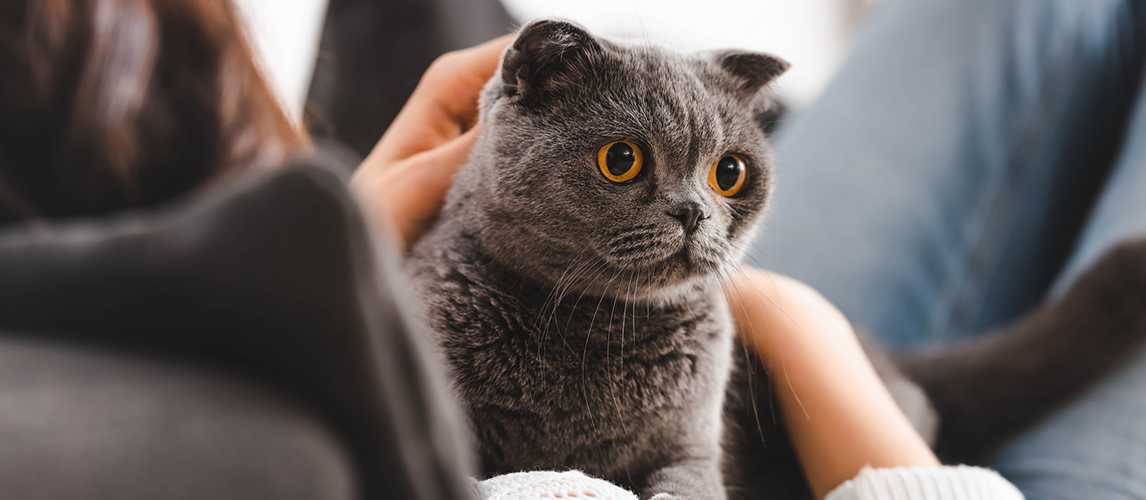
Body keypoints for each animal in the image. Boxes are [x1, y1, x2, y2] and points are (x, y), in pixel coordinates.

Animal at [412, 17, 1146, 499]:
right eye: (621, 160)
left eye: (729, 173)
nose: (694, 212)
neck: (592, 328)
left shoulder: (693, 444)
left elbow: (687, 485)